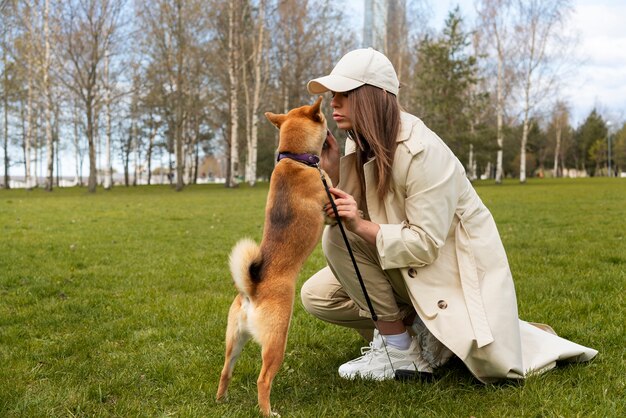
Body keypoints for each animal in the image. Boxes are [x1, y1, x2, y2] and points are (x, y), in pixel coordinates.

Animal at [214, 96, 332, 416]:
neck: (294, 158)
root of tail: (251, 292)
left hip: (234, 340)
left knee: (225, 370)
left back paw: (220, 400)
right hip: (277, 341)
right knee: (263, 380)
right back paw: (268, 411)